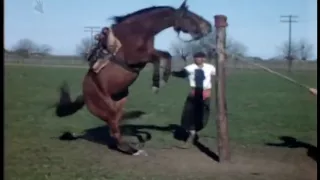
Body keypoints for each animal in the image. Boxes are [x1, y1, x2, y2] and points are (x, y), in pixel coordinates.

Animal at [57, 0, 212, 155]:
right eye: (190, 16)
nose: (208, 27)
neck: (136, 31)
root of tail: (84, 96)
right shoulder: (137, 58)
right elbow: (160, 57)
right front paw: (157, 83)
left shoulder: (149, 53)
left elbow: (166, 55)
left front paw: (163, 79)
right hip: (106, 110)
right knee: (114, 130)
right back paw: (132, 150)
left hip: (118, 104)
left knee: (115, 127)